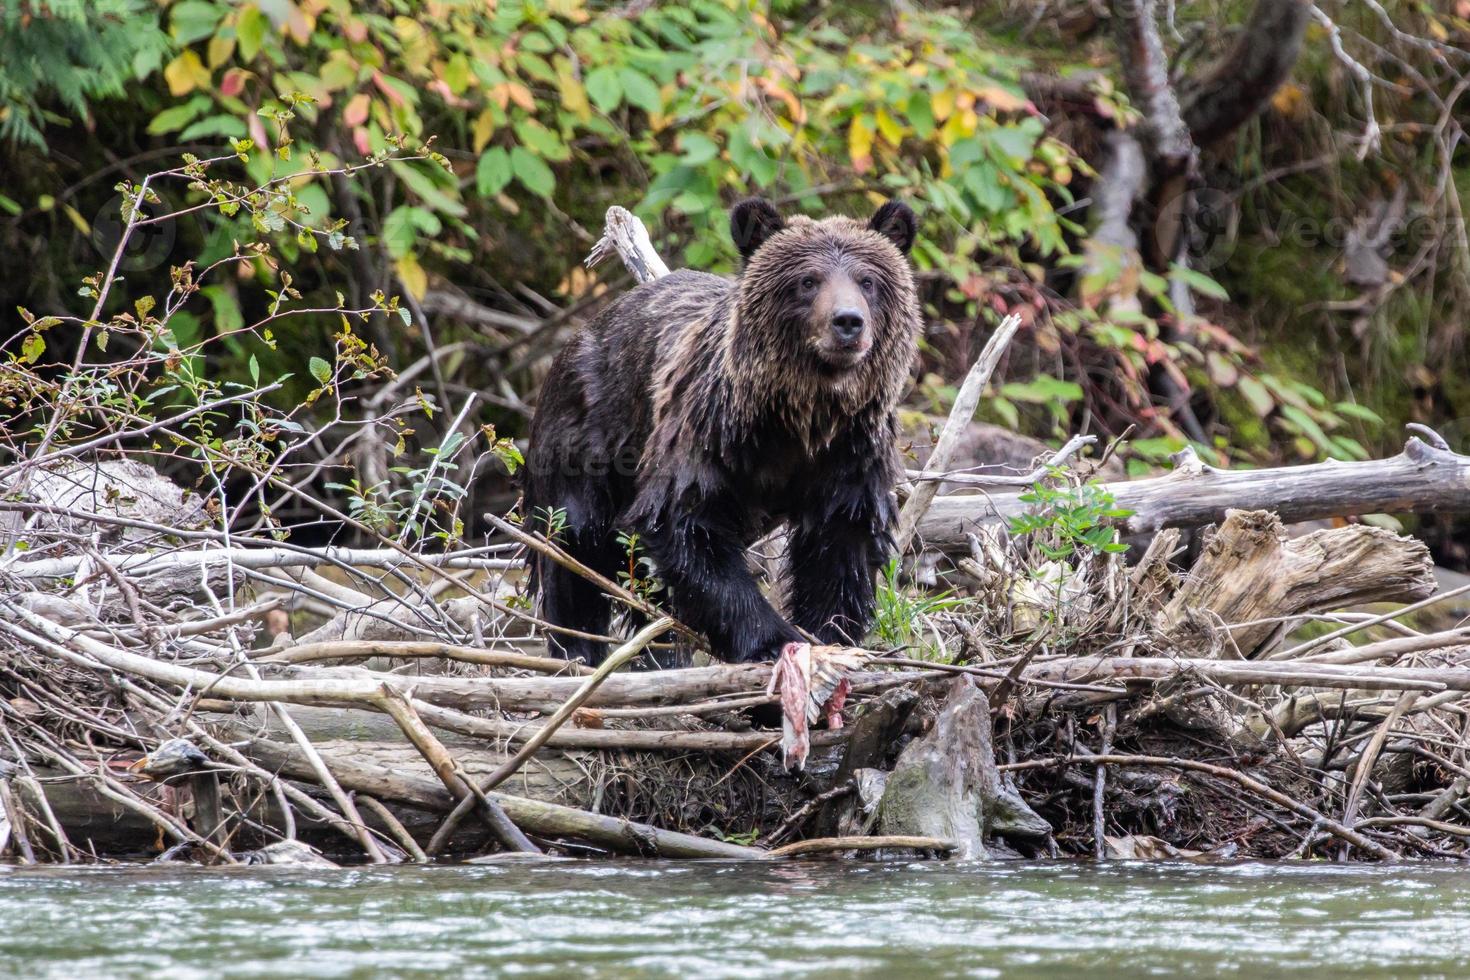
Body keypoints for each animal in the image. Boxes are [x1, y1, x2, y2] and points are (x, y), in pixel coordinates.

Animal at [526, 195, 917, 664]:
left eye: (868, 280)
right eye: (808, 281)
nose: (847, 321)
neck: (802, 417)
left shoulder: (851, 452)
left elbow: (840, 547)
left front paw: (829, 633)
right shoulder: (708, 435)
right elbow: (688, 529)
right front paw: (773, 640)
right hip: (586, 435)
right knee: (573, 544)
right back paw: (578, 650)